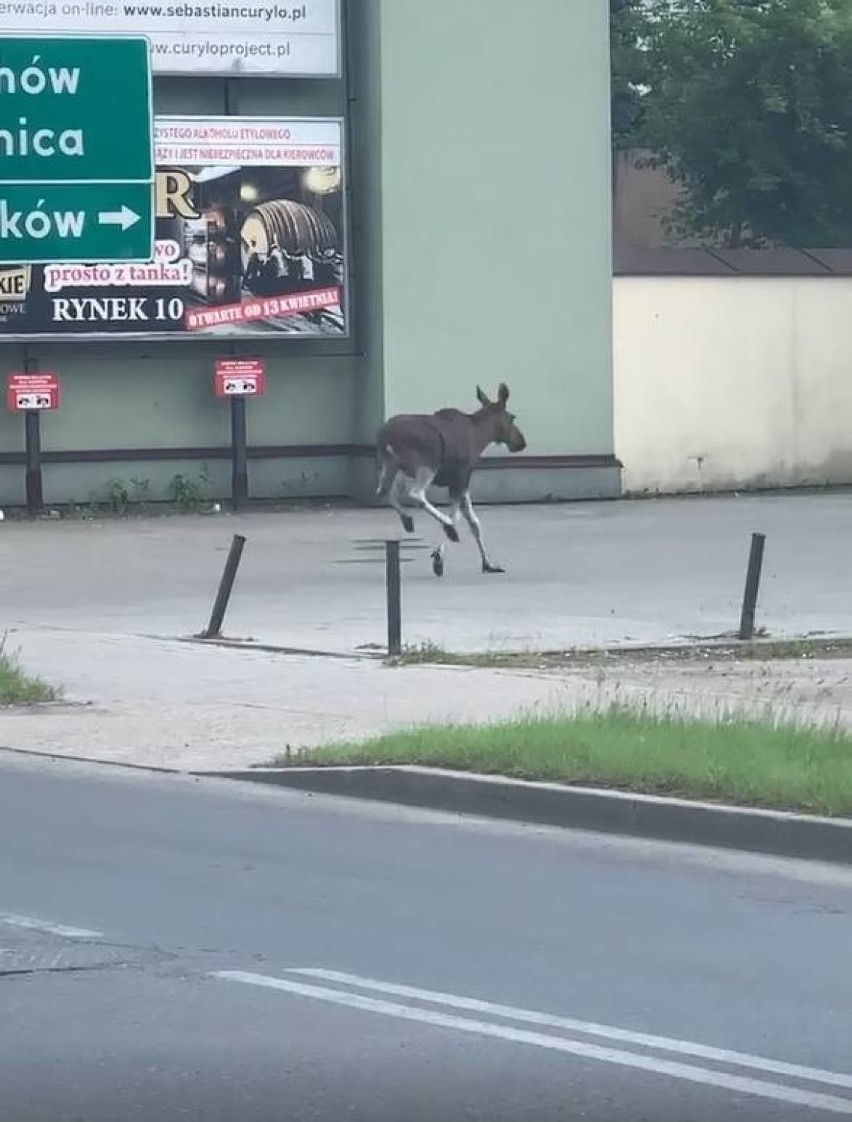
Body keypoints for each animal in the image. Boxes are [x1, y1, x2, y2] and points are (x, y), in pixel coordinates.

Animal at [374, 385, 527, 578]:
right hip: (428, 462)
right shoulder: (461, 477)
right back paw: (442, 525)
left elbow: (473, 522)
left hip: (392, 466)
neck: (480, 437)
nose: (521, 442)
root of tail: (384, 435)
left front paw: (488, 564)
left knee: (383, 491)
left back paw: (407, 518)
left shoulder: (460, 482)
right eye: (512, 417)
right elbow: (457, 517)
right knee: (416, 494)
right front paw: (441, 552)